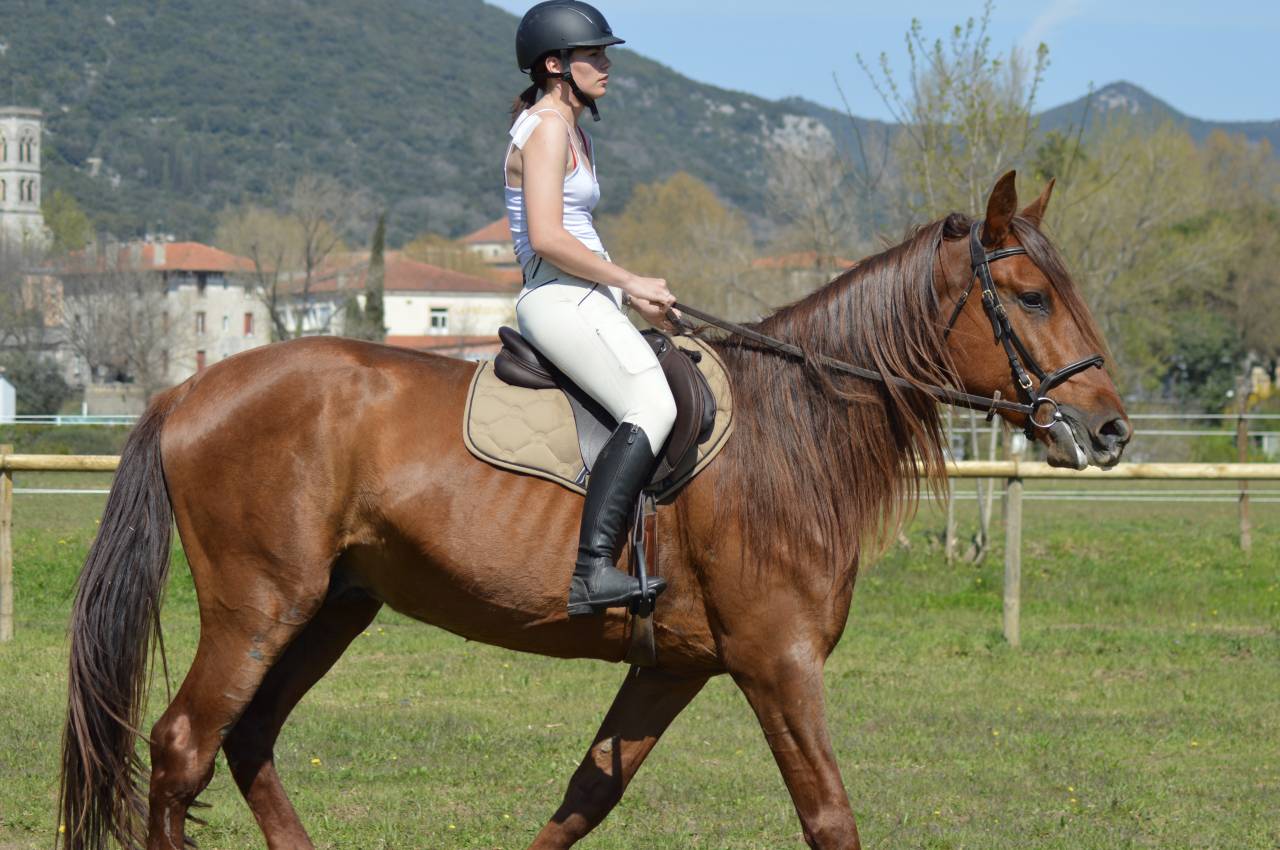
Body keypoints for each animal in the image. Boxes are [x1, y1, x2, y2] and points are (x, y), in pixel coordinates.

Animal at [59, 172, 1130, 850]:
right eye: (1030, 297)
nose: (1109, 430)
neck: (793, 432)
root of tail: (188, 392)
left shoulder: (676, 668)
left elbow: (586, 797)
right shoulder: (777, 662)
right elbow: (829, 815)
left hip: (333, 606)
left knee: (246, 741)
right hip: (259, 606)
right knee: (185, 747)